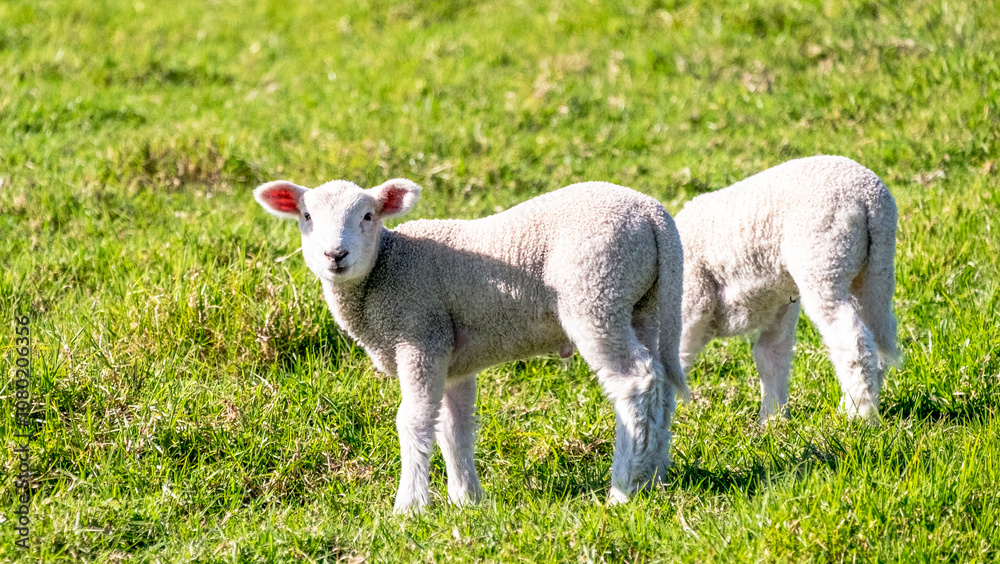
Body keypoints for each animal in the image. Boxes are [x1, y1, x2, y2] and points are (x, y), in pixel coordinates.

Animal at [253, 177, 688, 513]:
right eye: (307, 217)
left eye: (368, 216)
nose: (336, 255)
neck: (385, 269)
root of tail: (653, 213)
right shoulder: (451, 360)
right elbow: (453, 428)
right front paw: (467, 500)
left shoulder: (420, 335)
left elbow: (413, 421)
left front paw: (410, 506)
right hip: (643, 304)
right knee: (661, 384)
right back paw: (653, 477)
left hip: (595, 292)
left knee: (634, 382)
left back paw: (623, 489)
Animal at [673, 155, 899, 423]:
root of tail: (870, 198)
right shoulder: (779, 305)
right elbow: (770, 355)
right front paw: (773, 420)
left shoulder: (692, 299)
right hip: (875, 271)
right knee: (878, 335)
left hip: (822, 262)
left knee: (852, 339)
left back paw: (857, 415)